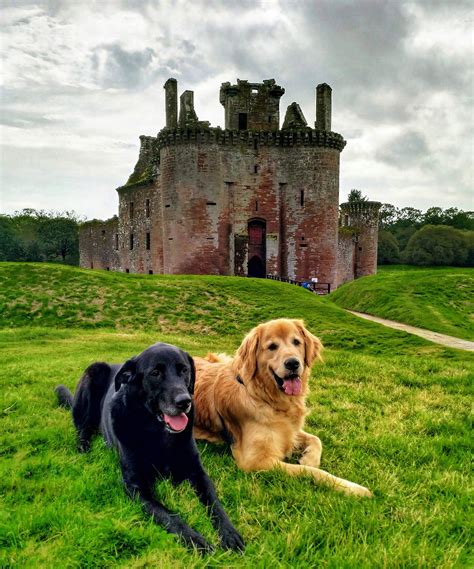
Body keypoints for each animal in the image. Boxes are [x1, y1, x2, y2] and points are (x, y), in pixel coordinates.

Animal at [55, 342, 244, 552]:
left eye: (184, 370)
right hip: (92, 375)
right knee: (82, 428)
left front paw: (229, 533)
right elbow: (169, 515)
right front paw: (196, 541)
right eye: (155, 373)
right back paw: (84, 448)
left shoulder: (198, 472)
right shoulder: (136, 487)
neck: (158, 433)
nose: (184, 401)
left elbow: (214, 502)